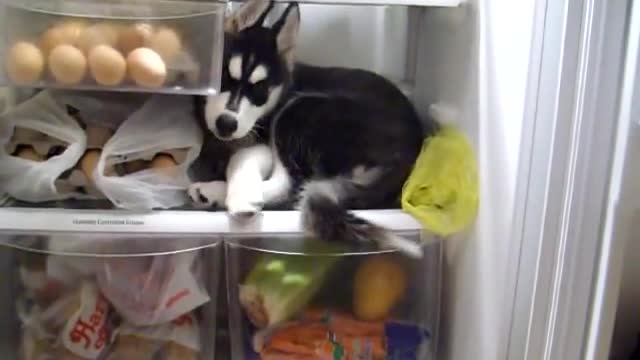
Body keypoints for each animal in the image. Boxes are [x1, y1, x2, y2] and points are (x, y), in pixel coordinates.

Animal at [189, 0, 436, 256]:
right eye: (222, 79)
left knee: (290, 185)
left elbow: (241, 156)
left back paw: (221, 191)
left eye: (260, 89)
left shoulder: (267, 138)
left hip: (297, 111)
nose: (226, 124)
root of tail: (407, 155)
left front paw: (242, 194)